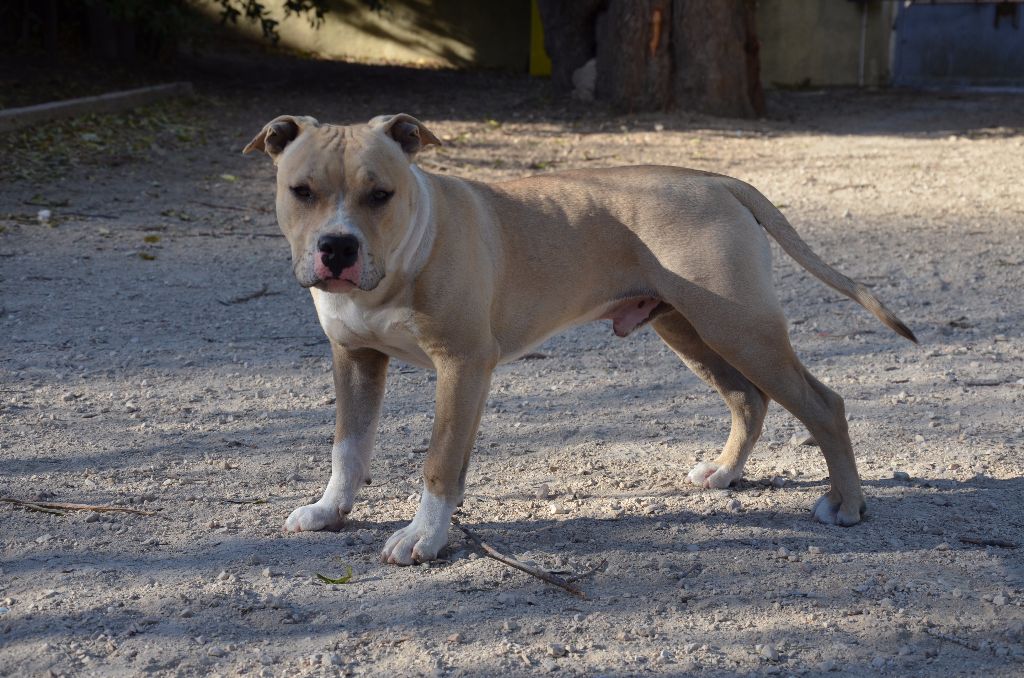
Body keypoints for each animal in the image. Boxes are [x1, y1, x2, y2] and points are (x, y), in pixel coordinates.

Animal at [243, 113, 916, 565]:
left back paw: (847, 506)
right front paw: (331, 510)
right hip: (690, 328)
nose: (337, 247)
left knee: (824, 405)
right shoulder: (354, 359)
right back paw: (724, 473)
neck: (406, 251)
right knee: (749, 398)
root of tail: (714, 179)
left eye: (380, 194)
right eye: (301, 191)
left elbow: (439, 464)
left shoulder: (463, 366)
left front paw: (423, 537)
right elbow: (348, 447)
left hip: (742, 329)